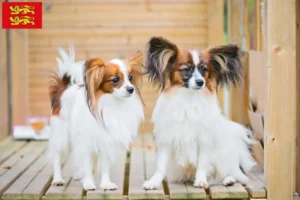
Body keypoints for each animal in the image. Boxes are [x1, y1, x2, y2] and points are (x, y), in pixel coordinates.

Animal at [48, 46, 144, 191]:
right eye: (115, 80)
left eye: (131, 78)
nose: (131, 89)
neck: (112, 103)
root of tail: (62, 91)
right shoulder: (87, 141)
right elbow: (88, 165)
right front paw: (88, 184)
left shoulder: (106, 141)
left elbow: (105, 167)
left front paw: (106, 184)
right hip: (62, 136)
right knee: (57, 158)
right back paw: (57, 179)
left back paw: (77, 174)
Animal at [142, 37, 254, 189]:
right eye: (186, 69)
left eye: (204, 69)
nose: (200, 82)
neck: (189, 97)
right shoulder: (167, 138)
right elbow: (161, 165)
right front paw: (154, 182)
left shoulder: (204, 139)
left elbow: (202, 163)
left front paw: (201, 180)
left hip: (223, 157)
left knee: (232, 172)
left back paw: (228, 179)